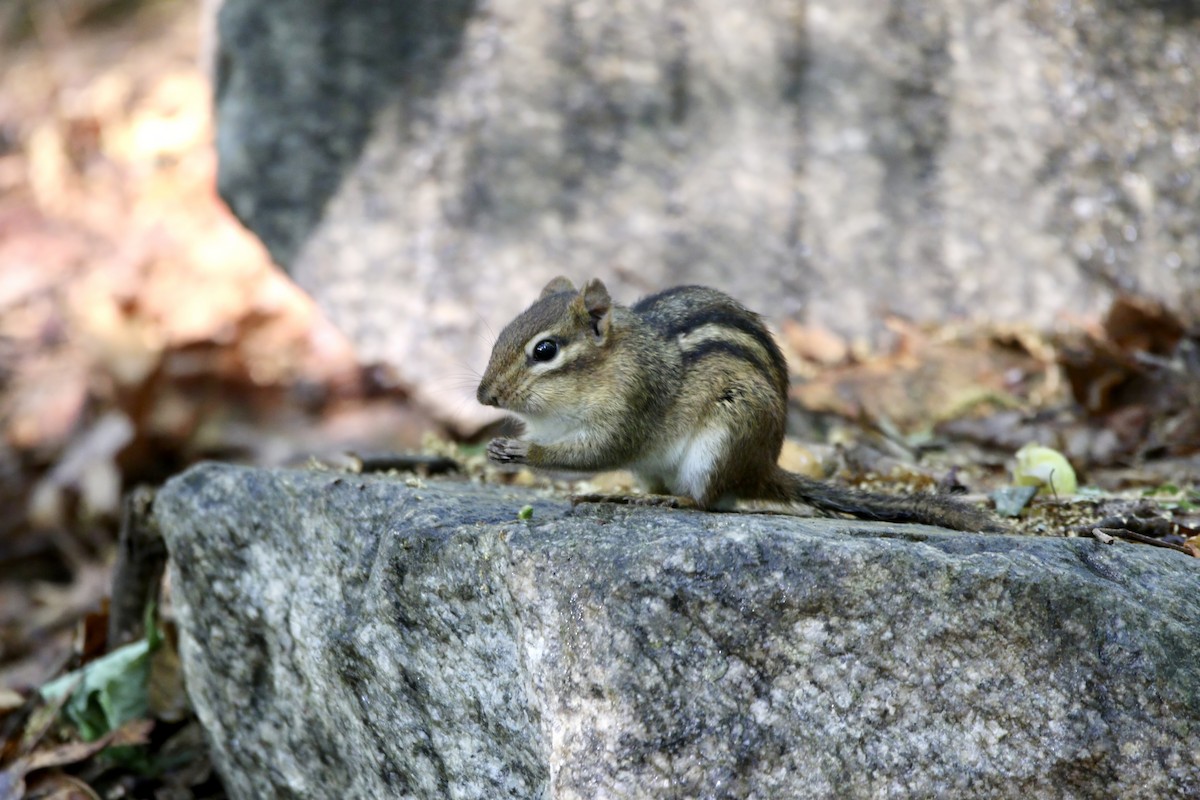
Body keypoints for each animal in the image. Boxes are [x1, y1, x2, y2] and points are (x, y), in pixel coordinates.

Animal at [477, 277, 1003, 532]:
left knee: (707, 502)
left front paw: (523, 453)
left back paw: (671, 499)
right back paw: (622, 496)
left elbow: (597, 452)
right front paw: (502, 448)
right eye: (501, 334)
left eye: (545, 350)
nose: (485, 397)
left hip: (723, 437)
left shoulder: (631, 405)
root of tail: (762, 468)